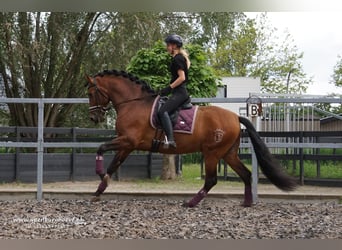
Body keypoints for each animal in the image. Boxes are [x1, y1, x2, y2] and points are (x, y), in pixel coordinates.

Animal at [85, 69, 296, 207]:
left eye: (91, 92)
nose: (94, 118)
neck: (134, 103)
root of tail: (235, 117)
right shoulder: (126, 144)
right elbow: (113, 165)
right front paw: (99, 190)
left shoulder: (129, 141)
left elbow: (101, 148)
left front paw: (99, 174)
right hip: (228, 153)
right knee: (246, 174)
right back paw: (246, 203)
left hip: (212, 153)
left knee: (211, 180)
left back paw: (191, 203)